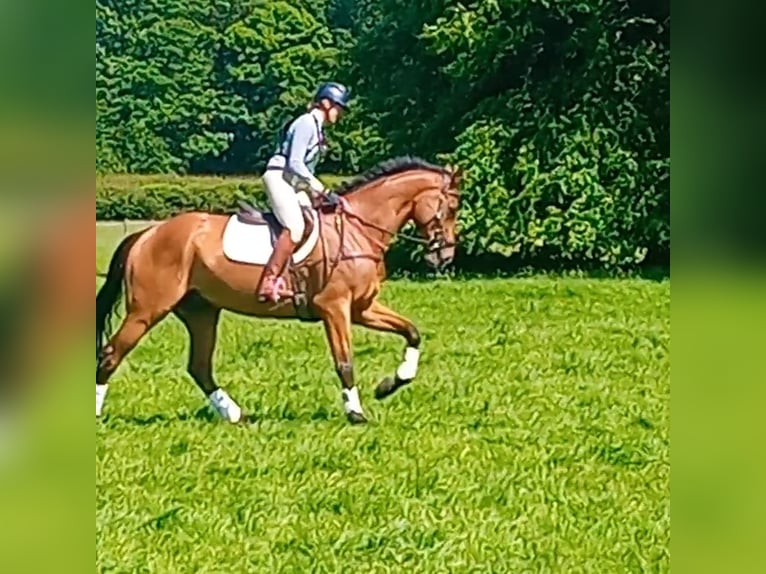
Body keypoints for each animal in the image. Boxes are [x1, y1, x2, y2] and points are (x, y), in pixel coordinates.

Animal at [99, 155, 464, 426]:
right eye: (451, 208)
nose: (445, 256)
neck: (358, 229)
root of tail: (147, 234)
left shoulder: (362, 308)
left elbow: (412, 332)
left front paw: (391, 384)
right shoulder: (335, 308)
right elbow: (344, 361)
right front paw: (356, 414)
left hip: (201, 311)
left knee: (199, 367)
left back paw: (235, 415)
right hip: (147, 310)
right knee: (112, 354)